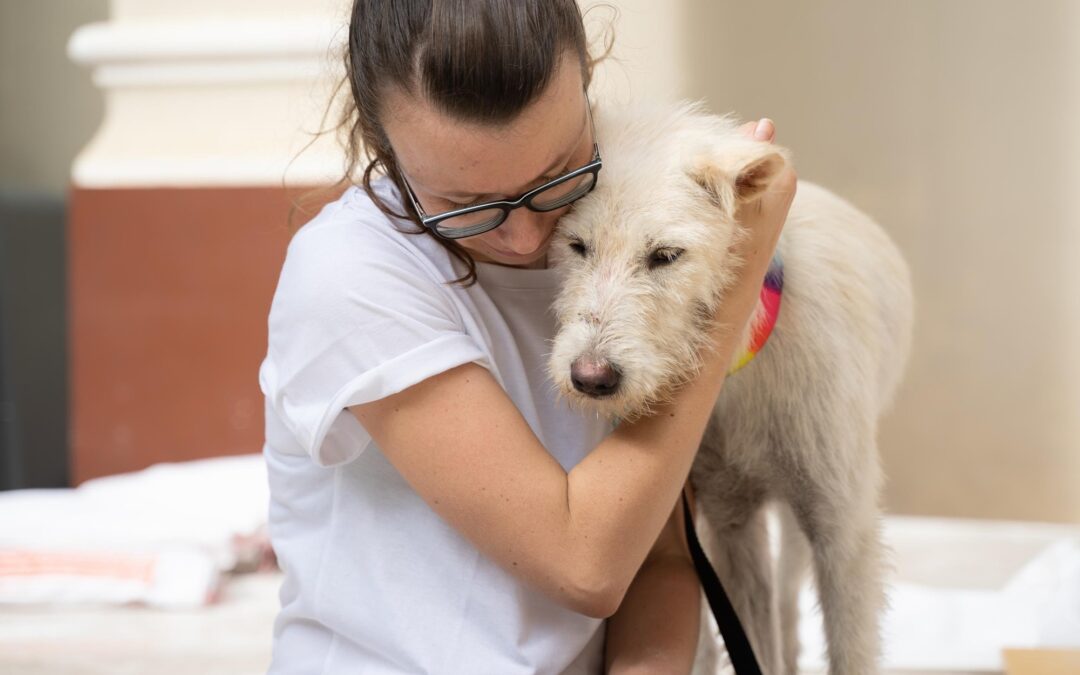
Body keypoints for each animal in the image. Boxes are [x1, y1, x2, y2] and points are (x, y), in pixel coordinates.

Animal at [548, 101, 911, 673]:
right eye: (577, 246)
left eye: (666, 255)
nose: (591, 377)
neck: (739, 371)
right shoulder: (728, 522)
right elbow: (750, 635)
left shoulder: (842, 528)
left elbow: (846, 647)